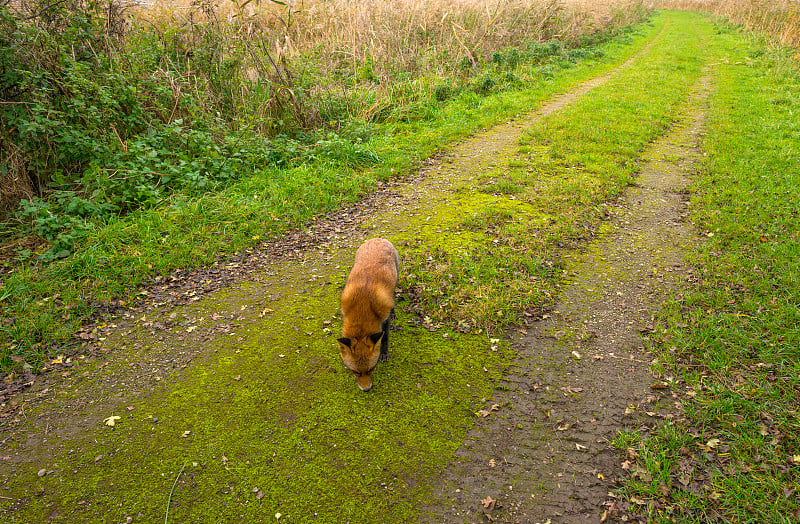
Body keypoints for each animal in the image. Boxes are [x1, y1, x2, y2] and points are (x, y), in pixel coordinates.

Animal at [338, 239, 400, 390]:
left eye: (372, 369)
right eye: (355, 371)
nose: (366, 390)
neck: (362, 306)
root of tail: (378, 238)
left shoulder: (384, 319)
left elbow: (385, 338)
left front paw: (384, 353)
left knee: (393, 298)